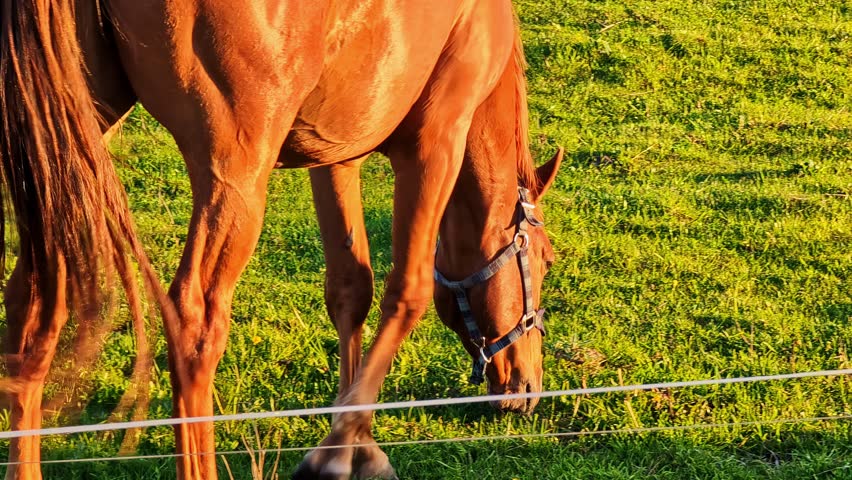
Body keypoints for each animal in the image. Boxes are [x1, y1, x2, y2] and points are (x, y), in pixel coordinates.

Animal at [0, 1, 563, 479]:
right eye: (546, 261)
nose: (528, 386)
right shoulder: (436, 143)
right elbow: (409, 292)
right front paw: (344, 450)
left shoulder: (336, 155)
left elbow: (350, 289)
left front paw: (352, 438)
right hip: (235, 177)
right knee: (194, 321)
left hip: (67, 148)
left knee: (33, 305)